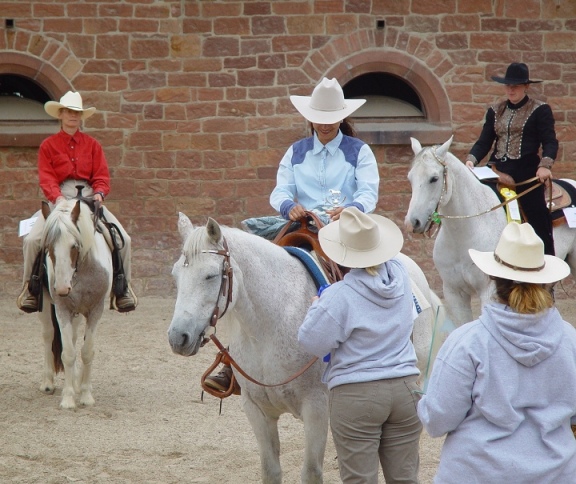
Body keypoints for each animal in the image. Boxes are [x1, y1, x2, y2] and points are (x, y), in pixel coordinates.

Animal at [38, 199, 112, 409]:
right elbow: (68, 353)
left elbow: (87, 351)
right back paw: (48, 382)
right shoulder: (62, 310)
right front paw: (68, 398)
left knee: (72, 338)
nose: (62, 289)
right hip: (46, 305)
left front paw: (85, 395)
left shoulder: (96, 310)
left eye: (74, 246)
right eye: (48, 246)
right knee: (48, 335)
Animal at [167, 213, 446, 484]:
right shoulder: (256, 410)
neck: (271, 324)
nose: (177, 337)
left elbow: (311, 472)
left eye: (211, 275)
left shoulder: (316, 409)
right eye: (175, 275)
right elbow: (270, 471)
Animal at [405, 136, 576, 326]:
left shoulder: (488, 291)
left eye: (434, 178)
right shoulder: (453, 292)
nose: (413, 222)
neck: (463, 235)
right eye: (410, 178)